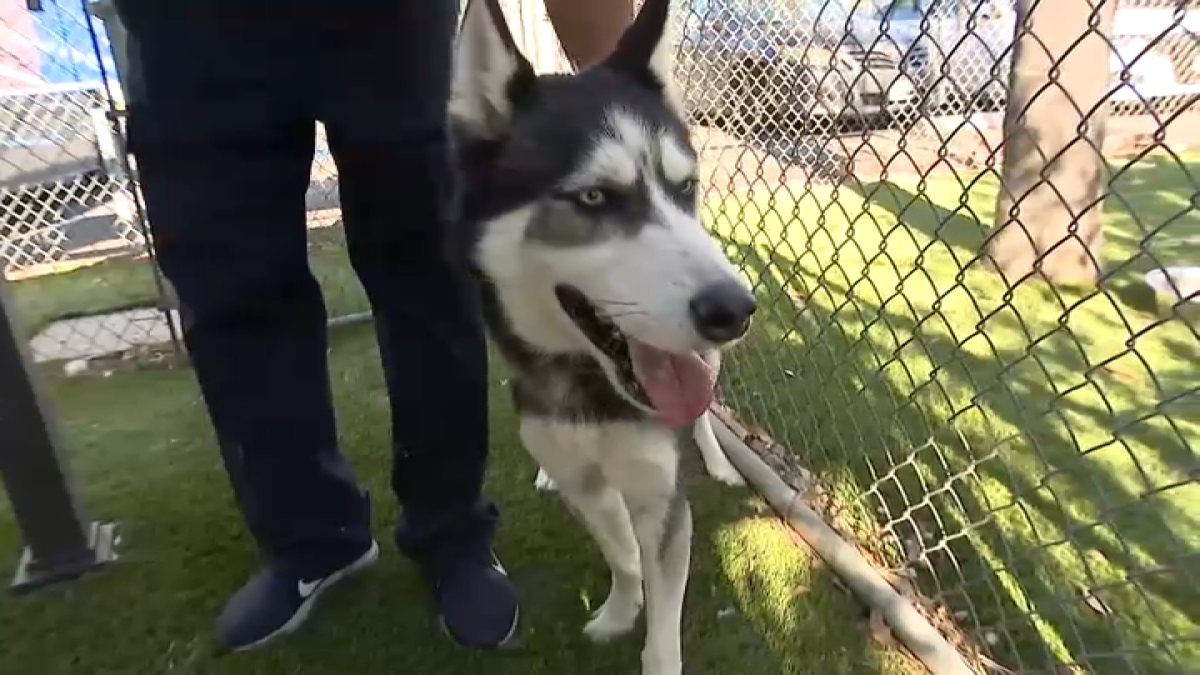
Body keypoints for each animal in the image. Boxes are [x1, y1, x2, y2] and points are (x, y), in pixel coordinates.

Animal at [451, 2, 758, 667]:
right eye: (593, 197)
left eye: (685, 188)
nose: (736, 310)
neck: (587, 386)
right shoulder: (587, 482)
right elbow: (620, 552)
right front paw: (620, 610)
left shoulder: (661, 497)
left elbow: (663, 619)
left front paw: (648, 635)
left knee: (703, 410)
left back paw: (720, 462)